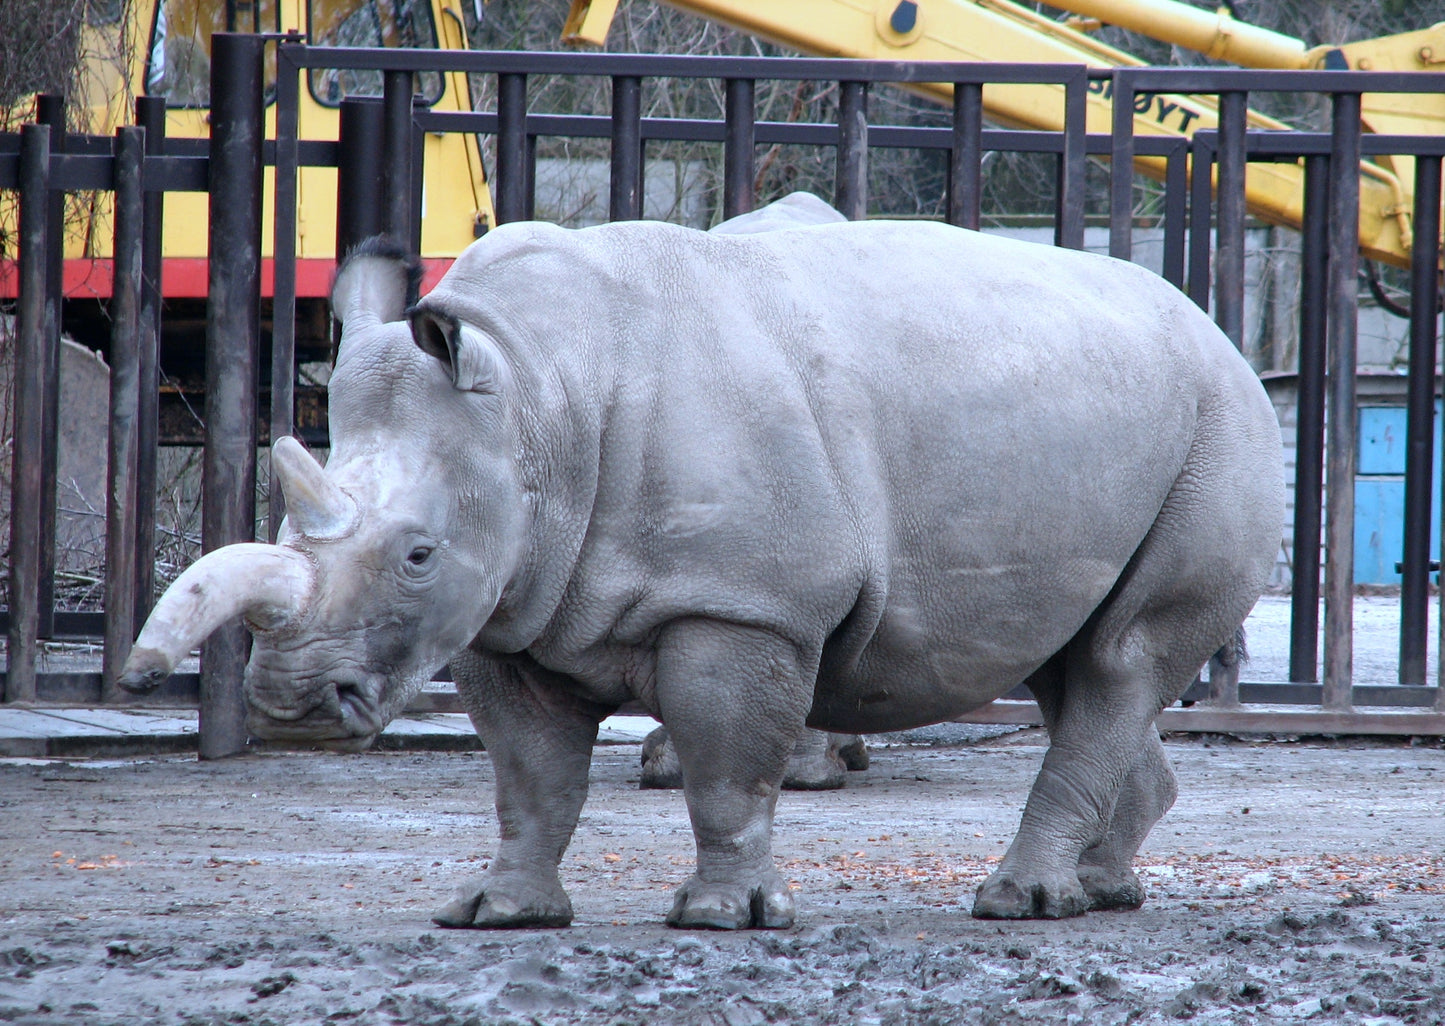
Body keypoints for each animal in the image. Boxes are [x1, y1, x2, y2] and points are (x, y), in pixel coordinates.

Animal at [121, 213, 1283, 929]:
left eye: (415, 554)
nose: (292, 708)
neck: (534, 399)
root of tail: (1219, 329)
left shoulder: (744, 605)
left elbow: (727, 764)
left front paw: (722, 918)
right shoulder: (509, 609)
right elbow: (528, 779)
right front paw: (502, 914)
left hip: (1221, 423)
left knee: (1118, 661)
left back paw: (1020, 905)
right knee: (1072, 663)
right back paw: (1099, 892)